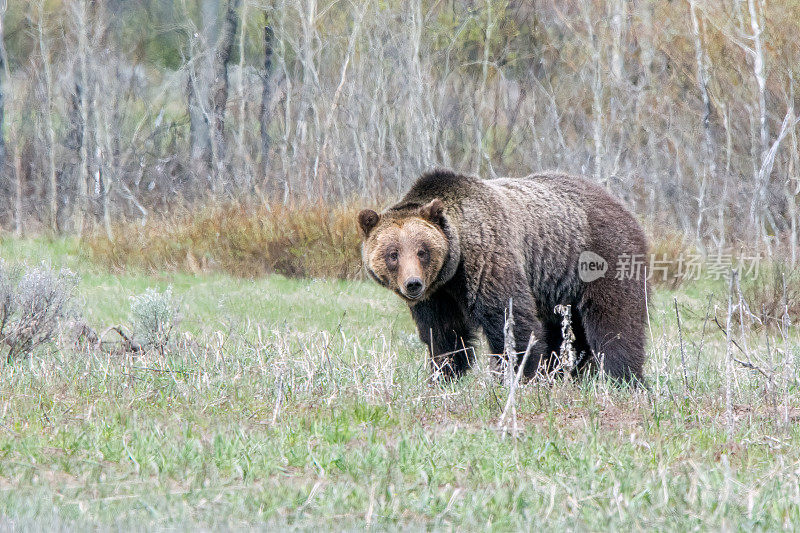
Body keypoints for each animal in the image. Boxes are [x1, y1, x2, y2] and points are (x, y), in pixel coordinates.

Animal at [360, 170, 648, 382]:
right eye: (393, 254)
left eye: (422, 251)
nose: (413, 284)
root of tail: (619, 203)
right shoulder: (438, 295)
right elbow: (443, 334)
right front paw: (444, 373)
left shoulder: (488, 260)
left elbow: (511, 320)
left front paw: (520, 374)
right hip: (559, 287)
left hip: (599, 256)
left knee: (614, 320)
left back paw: (622, 377)